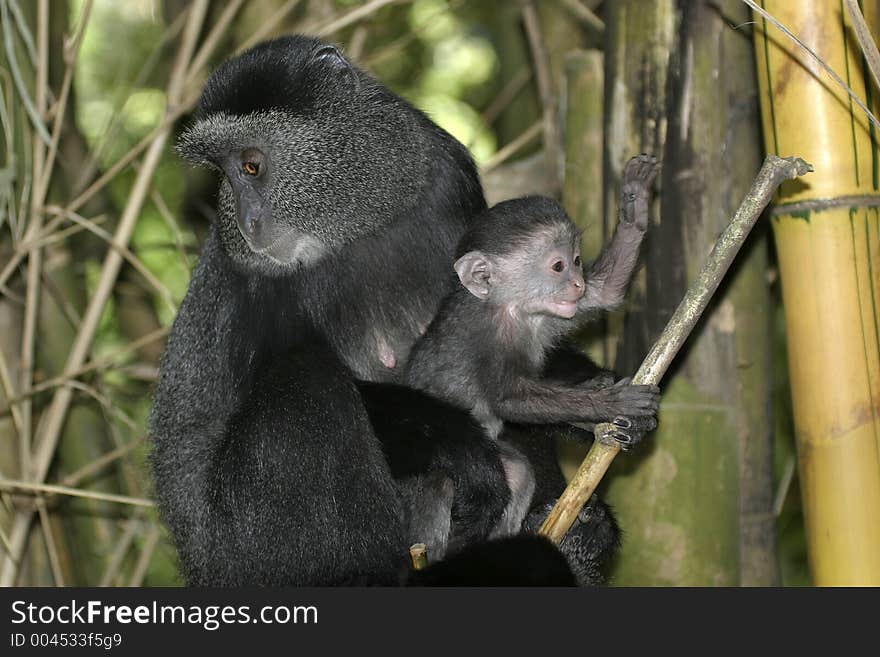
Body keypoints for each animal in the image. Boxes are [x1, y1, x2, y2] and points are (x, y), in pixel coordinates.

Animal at [150, 34, 620, 584]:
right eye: (222, 175)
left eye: (250, 165)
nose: (247, 219)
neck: (353, 230)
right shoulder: (253, 283)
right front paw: (467, 448)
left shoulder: (447, 173)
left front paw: (592, 395)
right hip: (248, 551)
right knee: (304, 377)